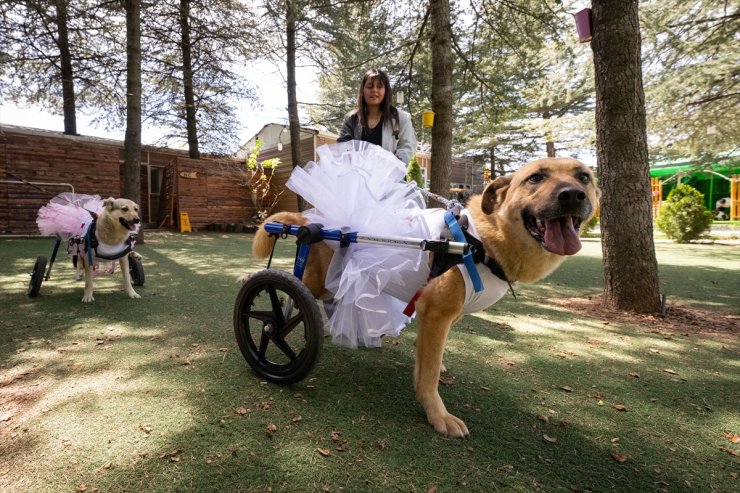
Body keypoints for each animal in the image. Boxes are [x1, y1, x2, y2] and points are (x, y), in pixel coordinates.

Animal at [251, 157, 600, 434]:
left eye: (584, 177)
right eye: (536, 178)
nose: (572, 195)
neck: (480, 242)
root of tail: (309, 221)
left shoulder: (442, 318)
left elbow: (428, 364)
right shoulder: (436, 314)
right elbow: (429, 376)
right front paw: (438, 415)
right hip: (317, 277)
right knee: (289, 294)